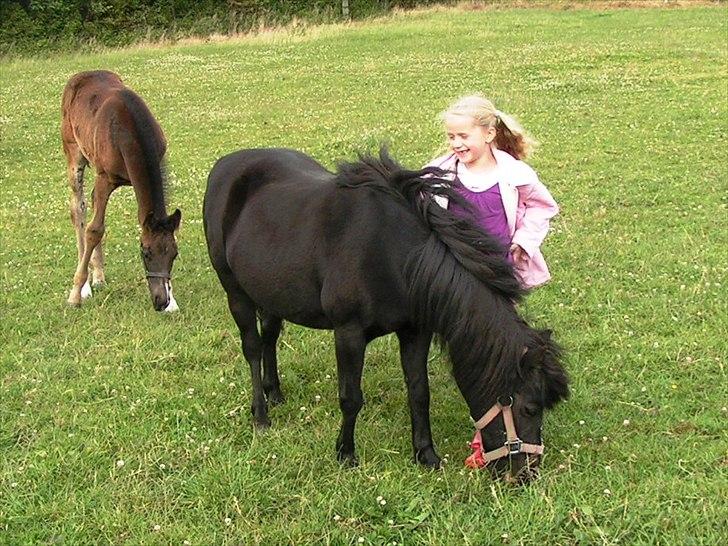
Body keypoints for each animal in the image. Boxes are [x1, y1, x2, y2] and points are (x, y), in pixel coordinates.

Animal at [61, 70, 181, 311]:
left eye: (174, 254)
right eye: (145, 252)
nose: (160, 301)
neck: (129, 130)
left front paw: (173, 302)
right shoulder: (105, 178)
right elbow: (94, 229)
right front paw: (75, 294)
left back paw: (98, 276)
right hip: (74, 153)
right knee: (79, 209)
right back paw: (86, 286)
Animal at [203, 147, 569, 482]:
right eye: (530, 407)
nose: (525, 475)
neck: (393, 254)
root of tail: (225, 164)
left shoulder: (414, 331)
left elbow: (419, 392)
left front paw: (425, 454)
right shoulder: (348, 333)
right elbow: (350, 398)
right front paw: (345, 453)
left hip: (271, 294)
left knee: (269, 338)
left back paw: (275, 393)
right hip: (236, 292)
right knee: (252, 348)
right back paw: (261, 414)